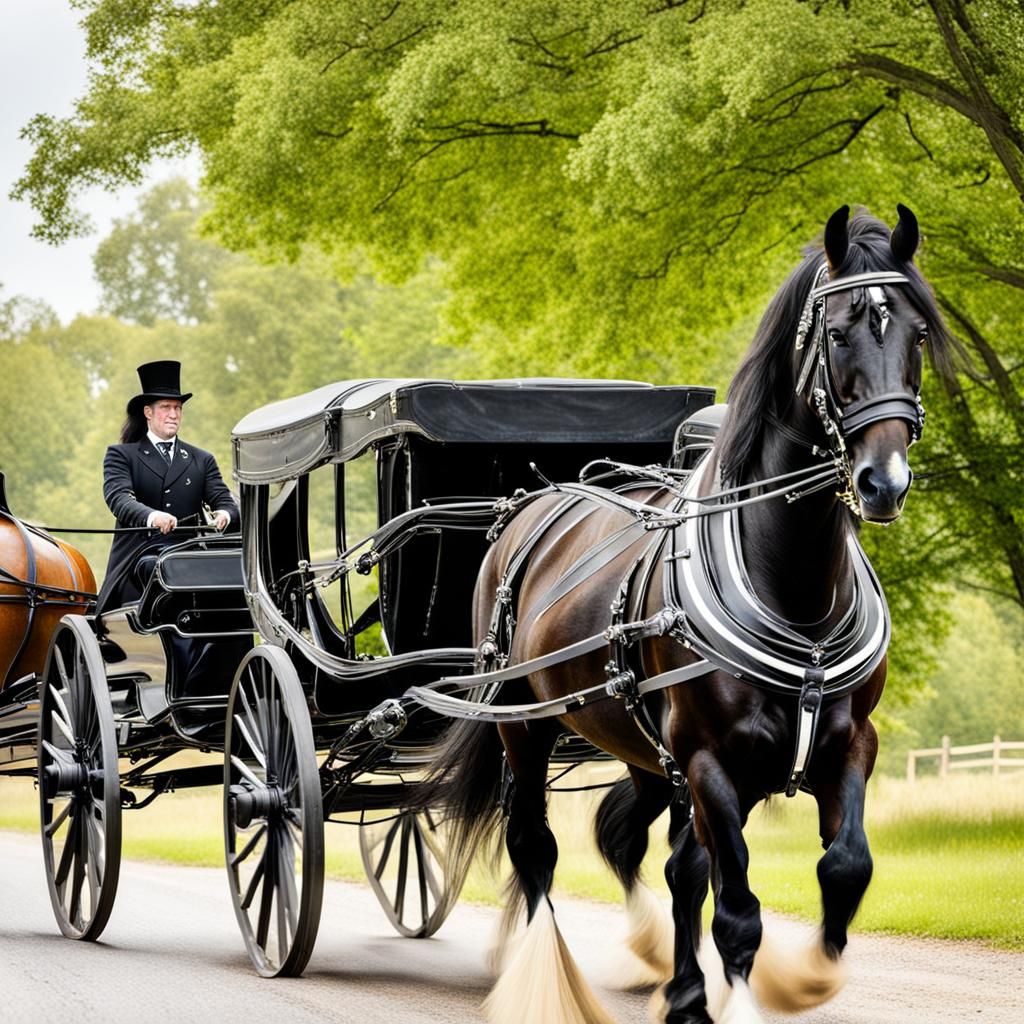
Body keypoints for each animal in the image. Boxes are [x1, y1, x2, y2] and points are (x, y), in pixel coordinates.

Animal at [417, 206, 951, 1024]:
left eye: (917, 334)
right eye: (836, 334)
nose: (883, 482)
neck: (795, 593)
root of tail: (529, 503)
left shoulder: (848, 743)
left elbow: (844, 867)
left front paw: (804, 977)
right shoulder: (708, 761)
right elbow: (735, 908)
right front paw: (743, 995)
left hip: (639, 745)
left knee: (641, 848)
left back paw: (670, 974)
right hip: (524, 726)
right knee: (537, 845)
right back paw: (551, 979)